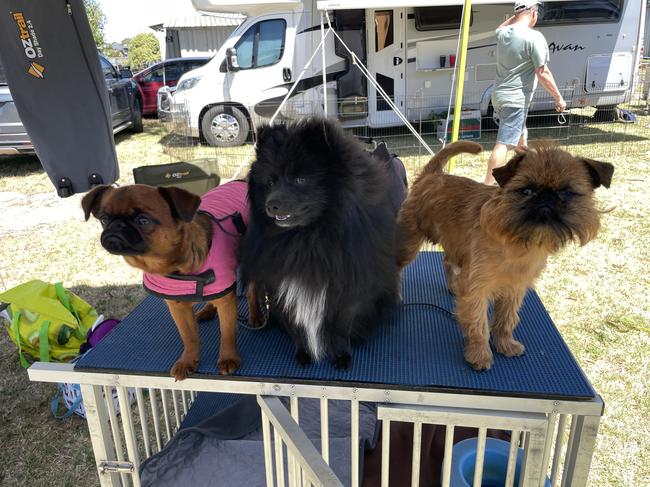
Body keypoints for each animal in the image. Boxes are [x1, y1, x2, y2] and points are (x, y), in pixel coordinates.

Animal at [240, 118, 408, 370]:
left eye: (300, 179)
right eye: (270, 182)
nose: (271, 205)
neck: (309, 240)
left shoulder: (347, 290)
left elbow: (340, 329)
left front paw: (342, 356)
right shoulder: (283, 287)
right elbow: (296, 326)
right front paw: (303, 354)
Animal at [394, 141, 612, 370]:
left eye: (567, 193)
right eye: (526, 191)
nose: (546, 198)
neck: (517, 240)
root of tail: (432, 174)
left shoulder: (514, 289)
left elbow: (506, 319)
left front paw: (505, 343)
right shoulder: (477, 289)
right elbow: (478, 323)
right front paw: (480, 354)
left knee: (448, 261)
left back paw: (453, 286)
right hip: (409, 242)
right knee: (398, 266)